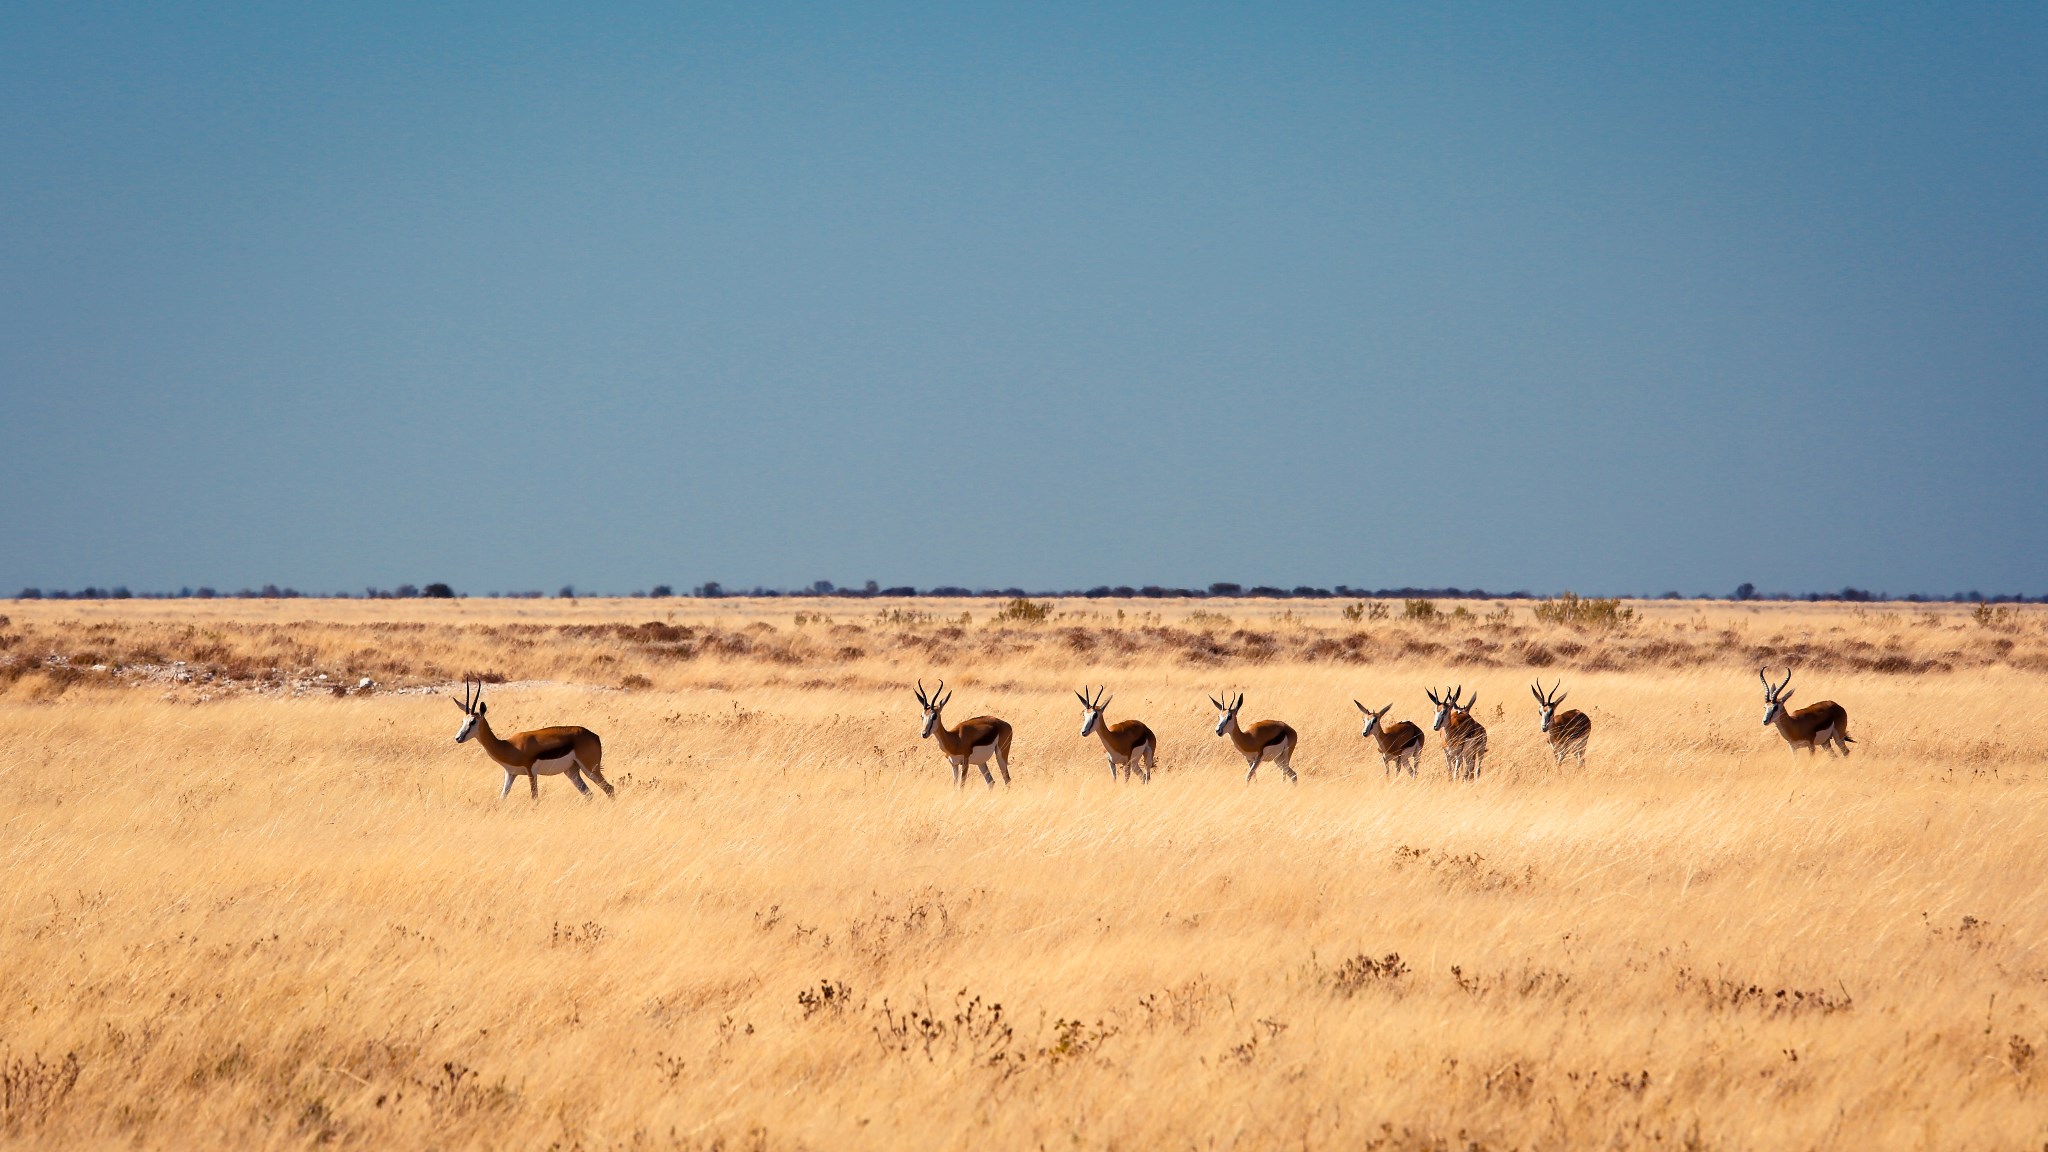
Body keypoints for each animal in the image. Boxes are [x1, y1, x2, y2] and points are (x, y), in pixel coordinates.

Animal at [448, 676, 606, 795]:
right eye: (463, 720)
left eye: (473, 721)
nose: (458, 738)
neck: (509, 746)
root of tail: (594, 736)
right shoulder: (510, 774)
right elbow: (502, 798)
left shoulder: (531, 772)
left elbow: (534, 798)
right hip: (571, 772)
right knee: (589, 794)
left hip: (591, 769)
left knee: (608, 789)